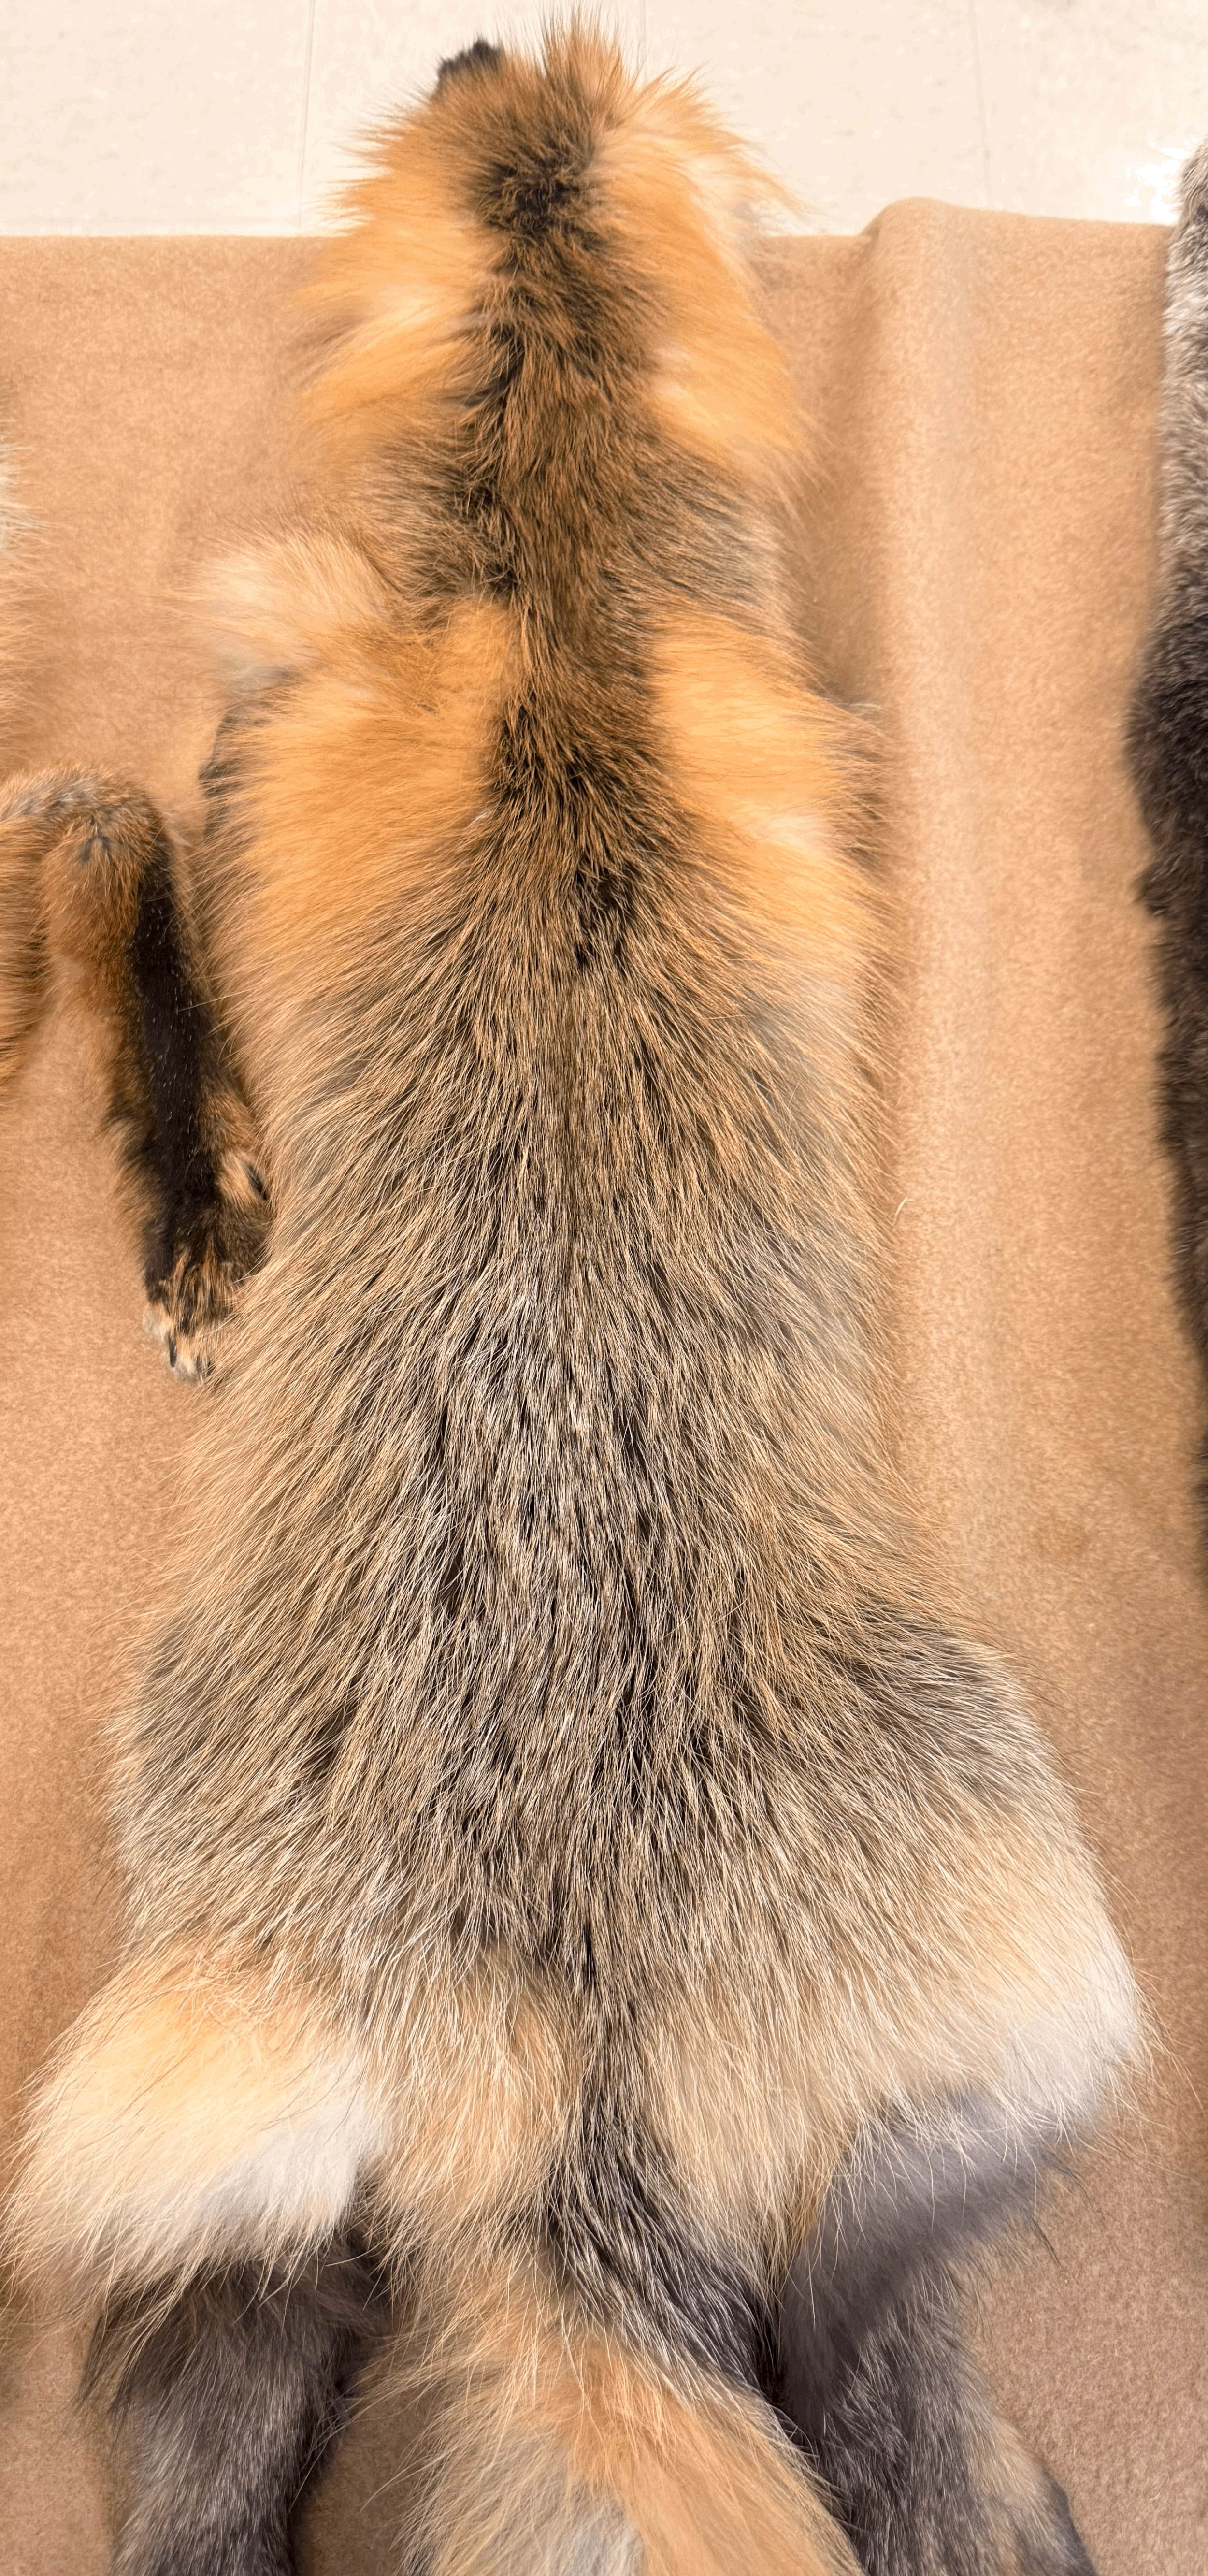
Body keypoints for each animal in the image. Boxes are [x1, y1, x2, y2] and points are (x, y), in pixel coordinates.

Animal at [0, 31, 1140, 2576]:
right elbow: (105, 853)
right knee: (919, 2464)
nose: (506, 46)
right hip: (854, 2238)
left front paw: (197, 1197)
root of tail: (563, 2086)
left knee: (195, 2489)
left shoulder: (240, 744)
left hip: (214, 2224)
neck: (554, 572)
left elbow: (124, 850)